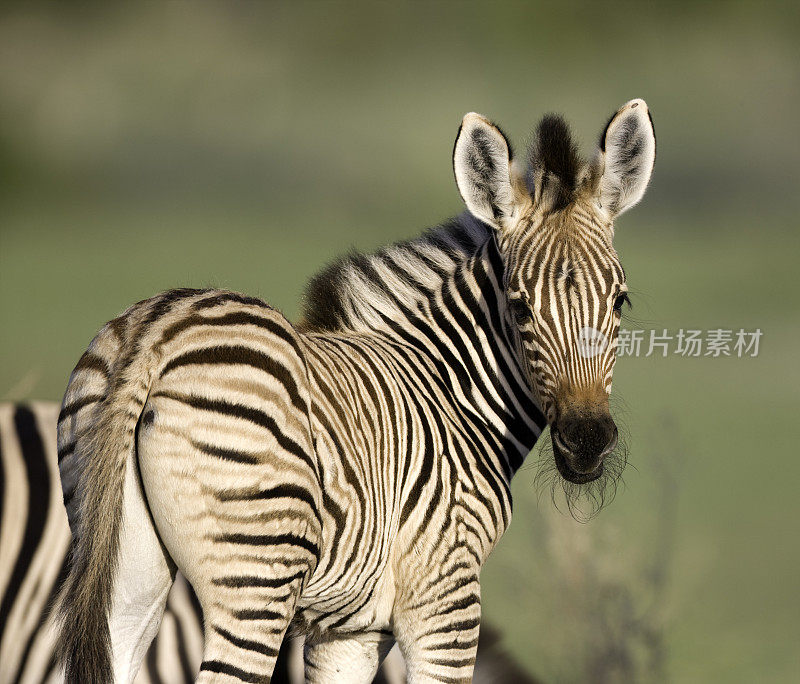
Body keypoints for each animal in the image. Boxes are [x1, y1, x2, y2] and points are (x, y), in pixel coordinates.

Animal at [56, 99, 656, 680]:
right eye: (519, 306)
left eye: (620, 301)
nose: (587, 439)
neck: (448, 391)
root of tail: (158, 329)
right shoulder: (445, 598)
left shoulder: (350, 630)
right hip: (257, 580)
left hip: (125, 572)